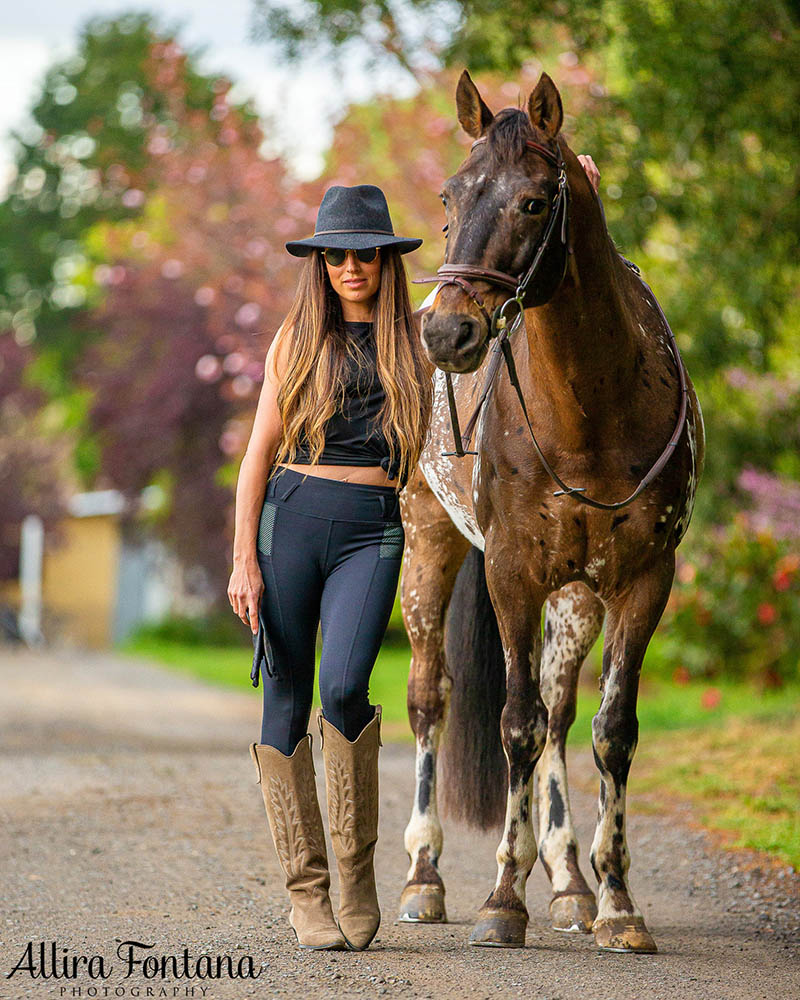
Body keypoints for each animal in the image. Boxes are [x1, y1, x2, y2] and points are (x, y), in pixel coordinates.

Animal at [396, 70, 704, 952]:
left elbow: (609, 731)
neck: (595, 409)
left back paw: (568, 883)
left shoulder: (644, 579)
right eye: (450, 195)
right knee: (430, 696)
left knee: (564, 714)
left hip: (575, 595)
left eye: (534, 201)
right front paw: (503, 897)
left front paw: (617, 902)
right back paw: (424, 875)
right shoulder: (510, 573)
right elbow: (516, 724)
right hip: (428, 544)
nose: (449, 332)